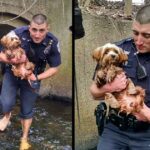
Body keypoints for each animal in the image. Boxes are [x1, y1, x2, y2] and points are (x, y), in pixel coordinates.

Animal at [0, 13, 61, 149]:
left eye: (17, 39)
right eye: (12, 39)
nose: (18, 41)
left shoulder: (22, 53)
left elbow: (21, 53)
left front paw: (17, 54)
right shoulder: (7, 51)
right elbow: (7, 53)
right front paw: (10, 54)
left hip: (29, 68)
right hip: (15, 75)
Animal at [91, 4, 150, 150]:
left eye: (116, 52)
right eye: (106, 51)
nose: (113, 55)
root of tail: (129, 104)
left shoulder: (120, 72)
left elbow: (115, 69)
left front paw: (110, 72)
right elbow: (99, 75)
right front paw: (101, 76)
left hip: (132, 87)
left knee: (136, 89)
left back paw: (133, 92)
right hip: (111, 96)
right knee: (110, 97)